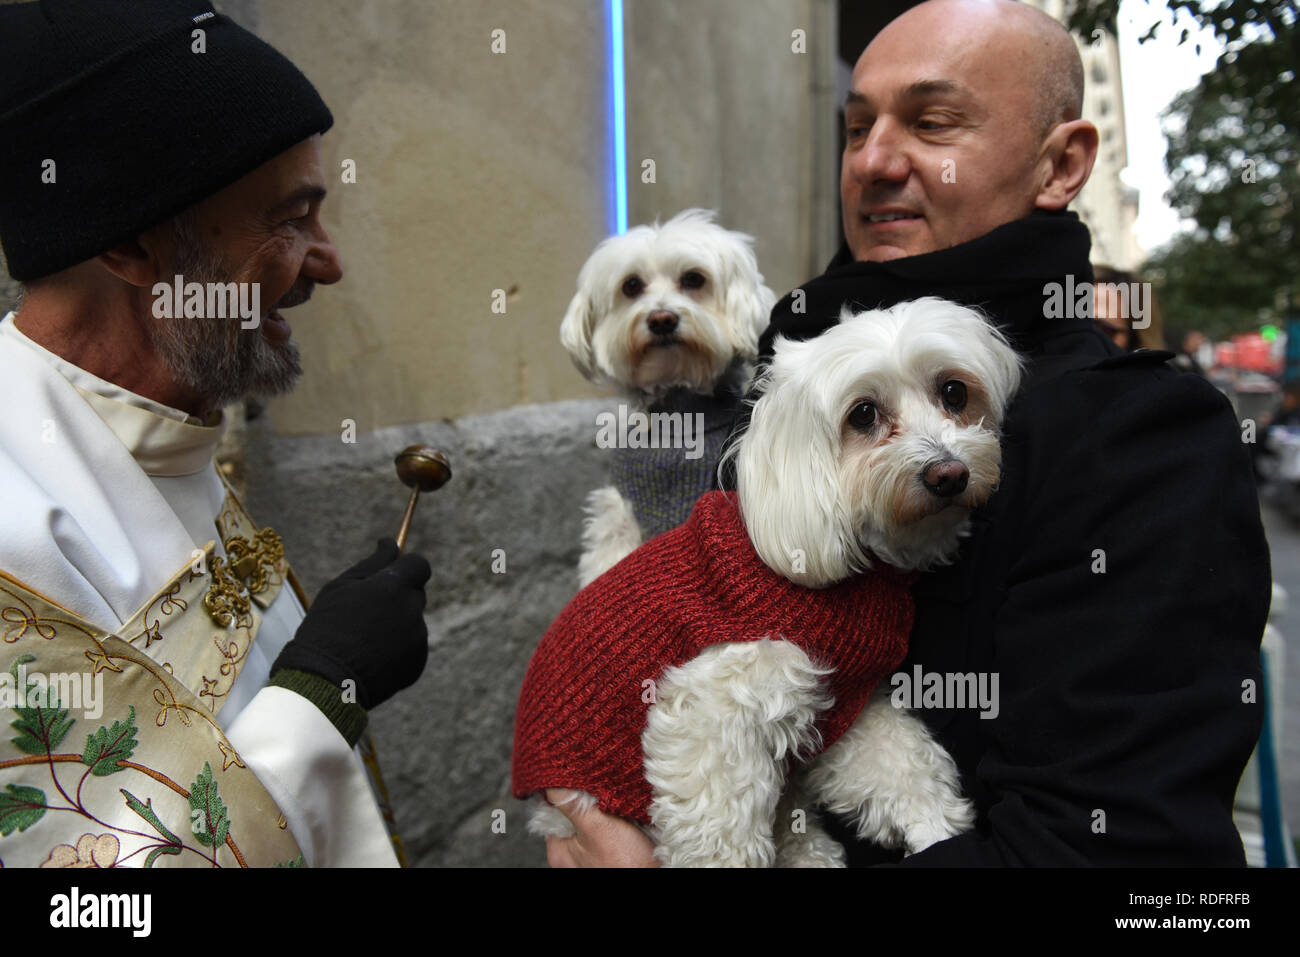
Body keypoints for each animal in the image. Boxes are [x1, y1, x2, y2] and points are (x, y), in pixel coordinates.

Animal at [512, 299, 1019, 868]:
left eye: (954, 392)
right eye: (863, 414)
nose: (948, 474)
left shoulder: (845, 707)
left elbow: (900, 762)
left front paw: (932, 825)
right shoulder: (713, 707)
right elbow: (718, 830)